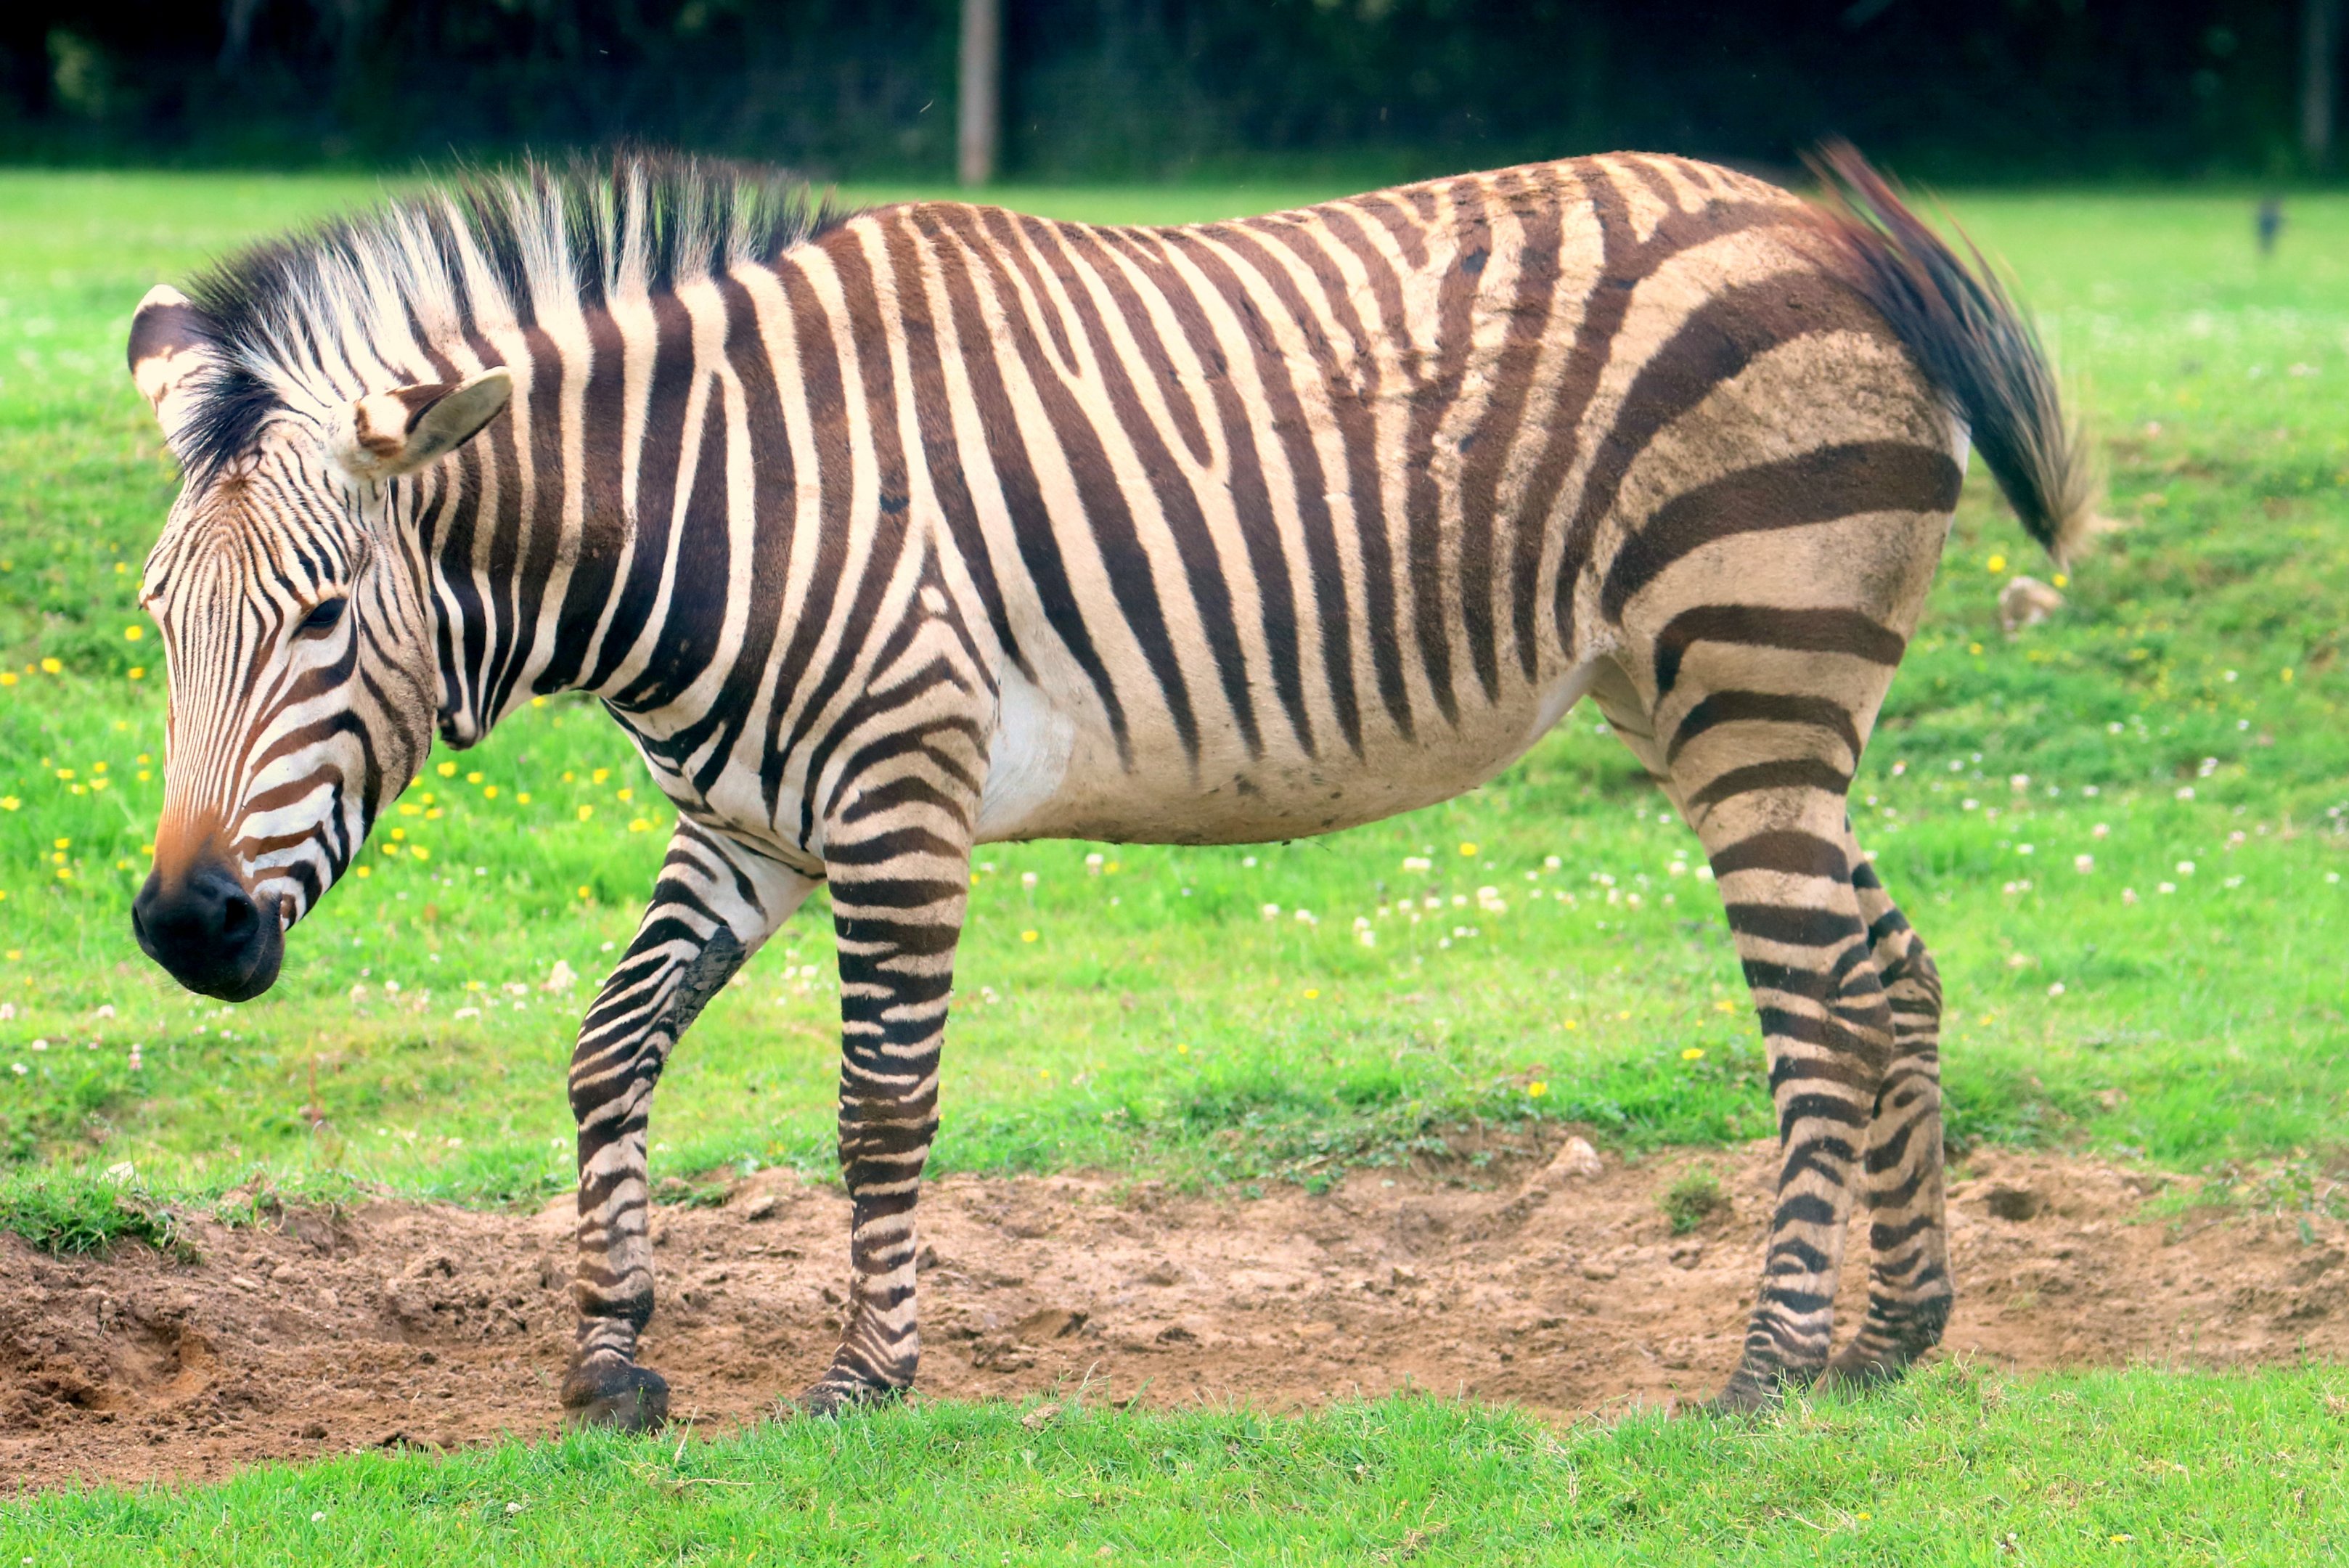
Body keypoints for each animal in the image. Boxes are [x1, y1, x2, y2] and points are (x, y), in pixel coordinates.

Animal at [124, 146, 2093, 1425]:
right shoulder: (745, 823)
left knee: (1815, 1013)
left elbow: (879, 1108)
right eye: (158, 622)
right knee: (1891, 973)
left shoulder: (897, 793)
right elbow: (610, 1049)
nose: (180, 929)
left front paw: (865, 1379)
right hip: (1723, 705)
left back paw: (1766, 1369)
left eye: (318, 621)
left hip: (1751, 676)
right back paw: (1895, 1337)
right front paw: (609, 1361)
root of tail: (1840, 244)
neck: (716, 513)